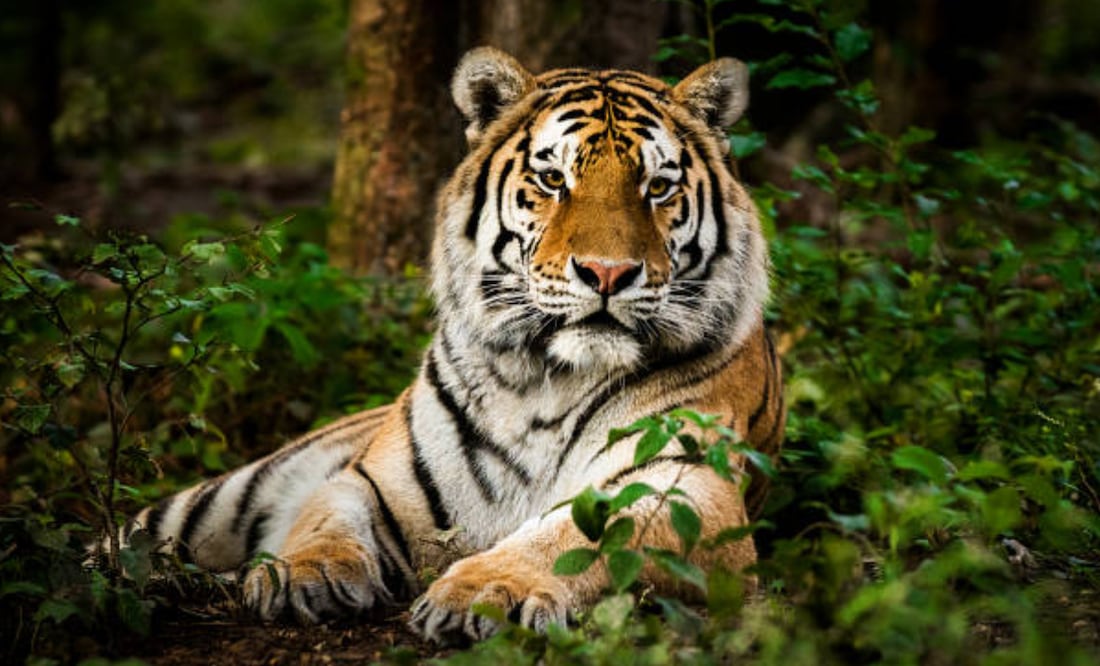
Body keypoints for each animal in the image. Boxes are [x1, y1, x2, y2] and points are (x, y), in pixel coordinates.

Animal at [111, 47, 785, 643]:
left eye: (657, 187)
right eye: (553, 179)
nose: (608, 272)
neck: (545, 380)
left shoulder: (685, 487)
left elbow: (576, 537)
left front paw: (486, 592)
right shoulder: (374, 479)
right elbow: (325, 517)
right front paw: (301, 574)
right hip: (217, 500)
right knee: (126, 537)